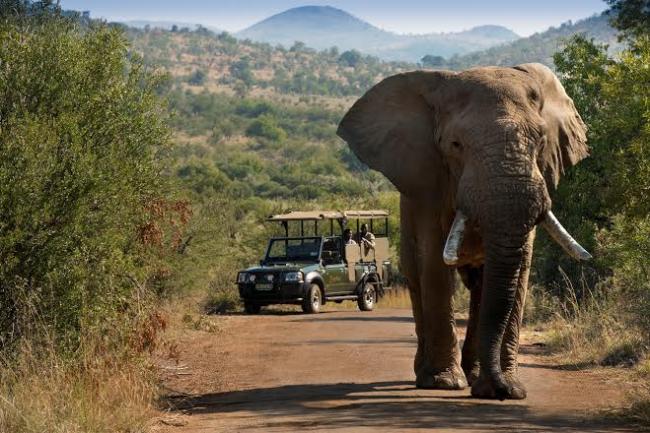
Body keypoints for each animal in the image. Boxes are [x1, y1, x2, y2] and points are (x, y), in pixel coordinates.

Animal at [336, 62, 588, 400]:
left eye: (540, 141)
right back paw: (429, 374)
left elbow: (520, 268)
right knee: (417, 278)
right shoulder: (429, 184)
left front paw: (509, 388)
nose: (503, 390)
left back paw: (475, 375)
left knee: (480, 284)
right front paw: (445, 382)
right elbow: (434, 264)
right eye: (456, 145)